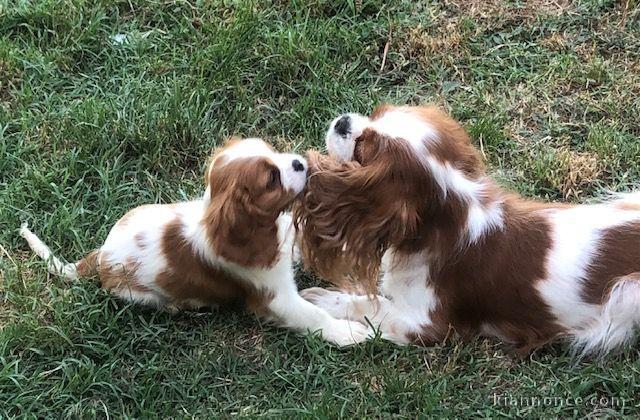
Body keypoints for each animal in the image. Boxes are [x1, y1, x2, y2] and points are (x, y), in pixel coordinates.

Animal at [21, 138, 370, 344]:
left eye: (274, 151)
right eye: (271, 179)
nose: (300, 163)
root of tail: (99, 255)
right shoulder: (273, 296)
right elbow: (312, 315)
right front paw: (348, 332)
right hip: (135, 293)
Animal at [298, 106, 640, 356]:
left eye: (363, 148)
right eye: (377, 113)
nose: (343, 122)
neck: (450, 218)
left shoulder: (428, 325)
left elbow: (374, 305)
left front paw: (327, 304)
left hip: (626, 294)